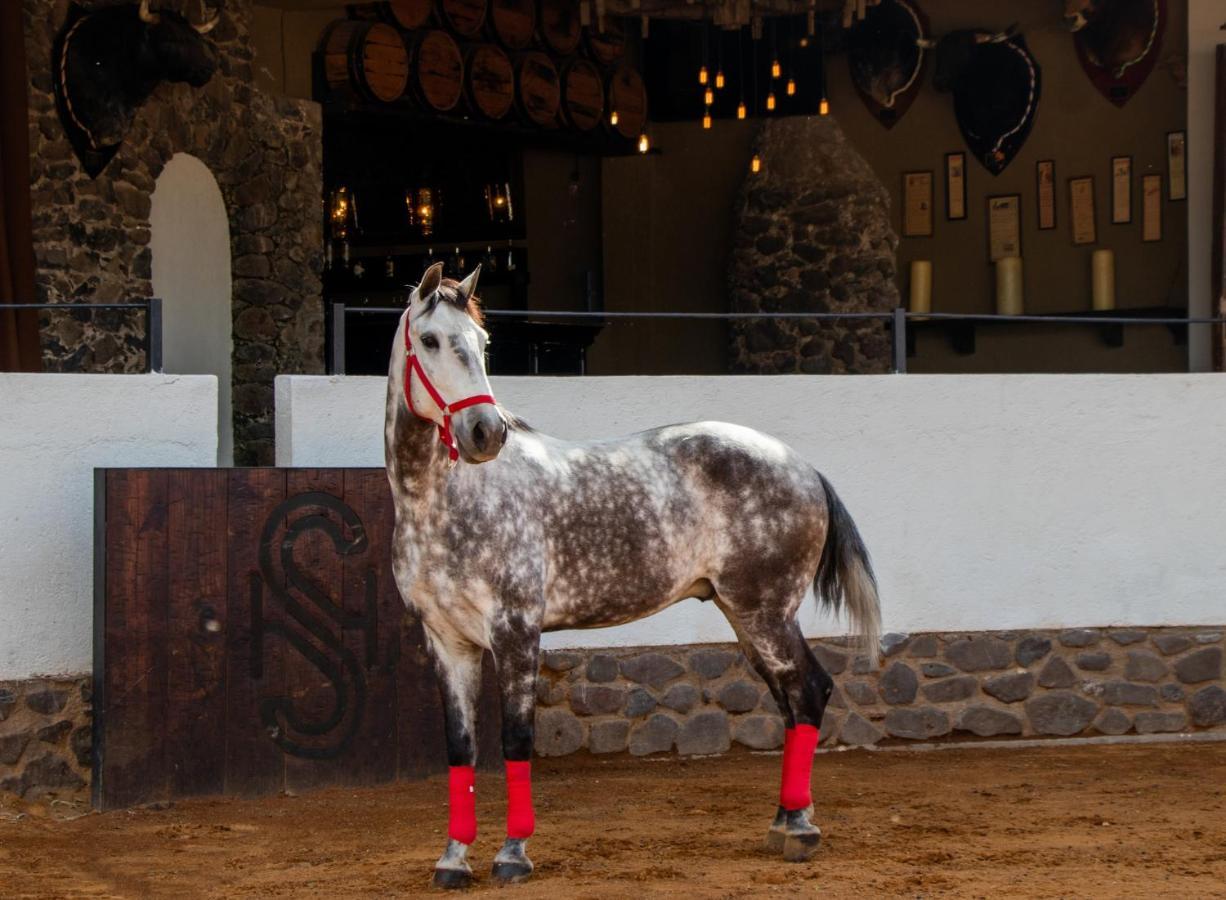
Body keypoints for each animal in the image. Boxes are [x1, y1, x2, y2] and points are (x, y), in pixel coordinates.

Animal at [382, 264, 882, 892]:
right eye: (429, 341)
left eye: (483, 343)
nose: (484, 432)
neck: (444, 504)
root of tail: (802, 465)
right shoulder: (448, 642)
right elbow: (460, 749)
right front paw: (452, 859)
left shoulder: (515, 633)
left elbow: (516, 740)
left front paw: (513, 854)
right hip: (746, 617)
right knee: (791, 701)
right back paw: (789, 819)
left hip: (766, 613)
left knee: (810, 691)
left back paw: (799, 831)